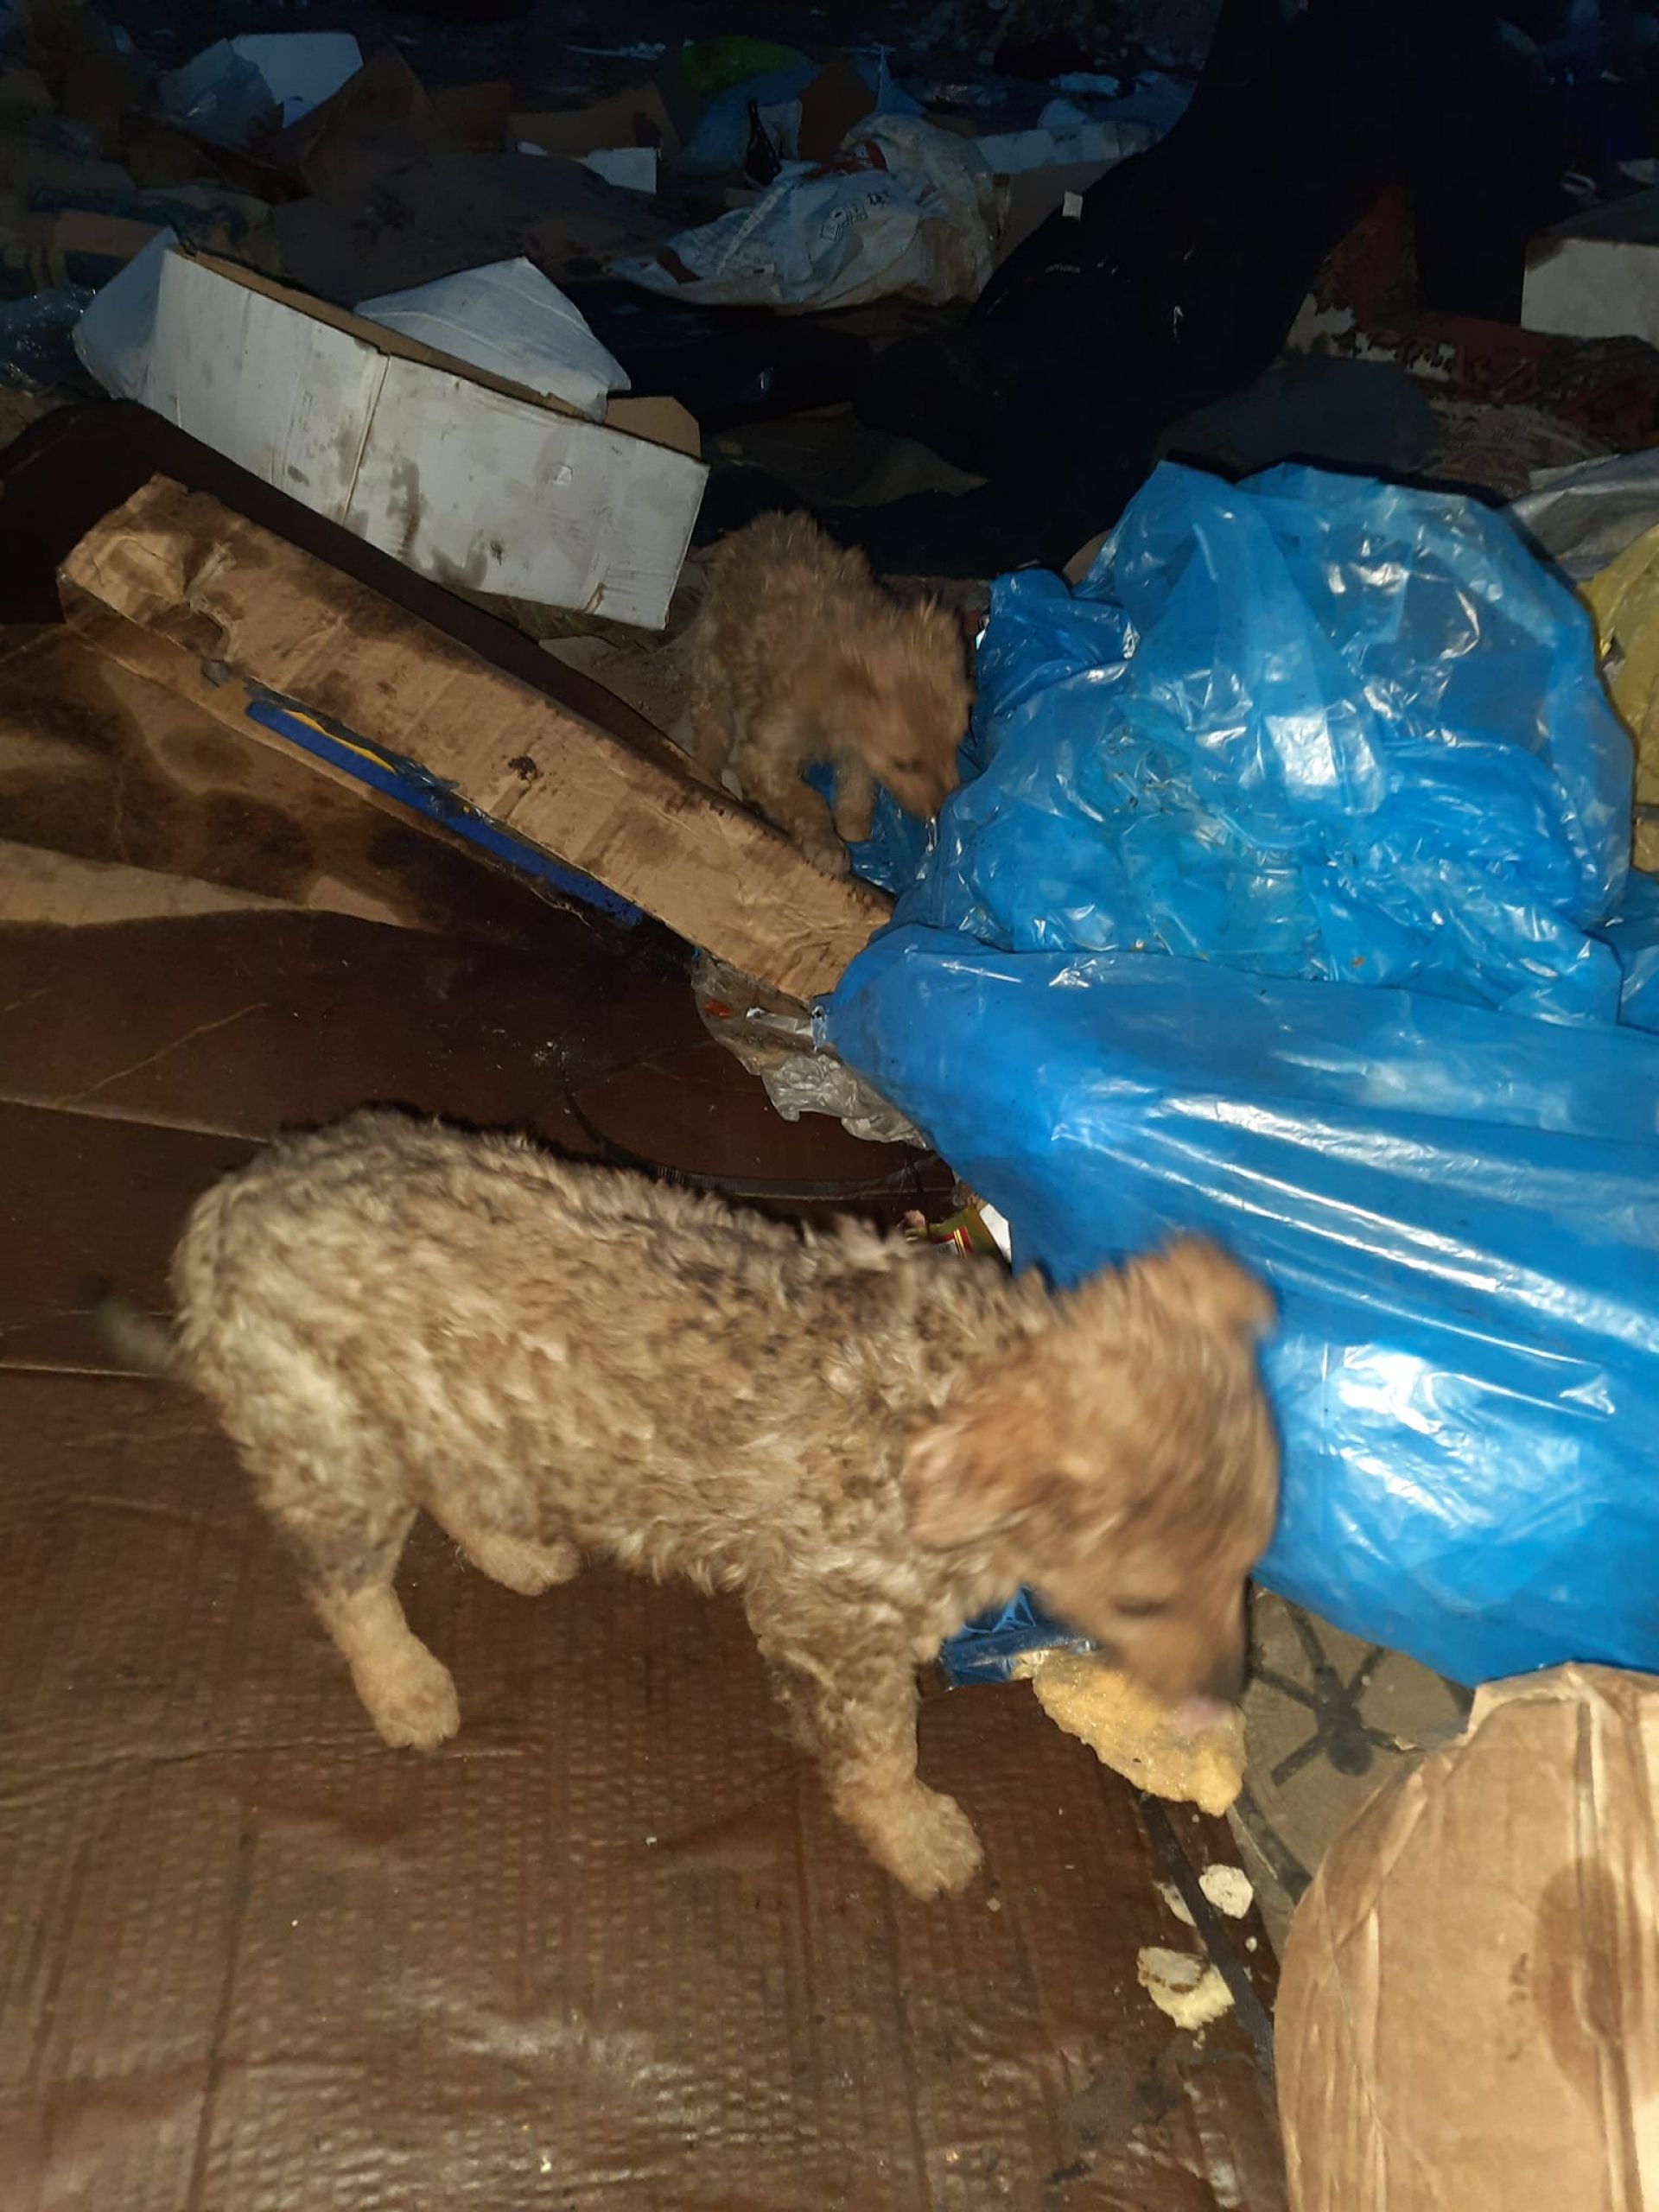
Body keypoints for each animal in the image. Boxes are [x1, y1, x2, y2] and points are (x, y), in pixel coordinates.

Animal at [105, 1111, 1279, 1899]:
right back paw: (405, 1685)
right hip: (334, 1441)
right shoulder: (836, 1633)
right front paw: (916, 1834)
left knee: (453, 1483)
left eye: (1248, 1567)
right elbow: (882, 1753)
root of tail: (221, 1211)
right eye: (1140, 1601)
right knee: (345, 1584)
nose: (1228, 1696)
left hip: (461, 1411)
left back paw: (513, 1551)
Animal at [683, 513, 972, 877]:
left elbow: (856, 799)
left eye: (954, 745)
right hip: (713, 661)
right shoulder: (766, 751)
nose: (942, 810)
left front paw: (854, 838)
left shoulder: (859, 755)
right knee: (712, 728)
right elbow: (809, 800)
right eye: (905, 764)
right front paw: (827, 845)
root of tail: (765, 522)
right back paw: (707, 771)